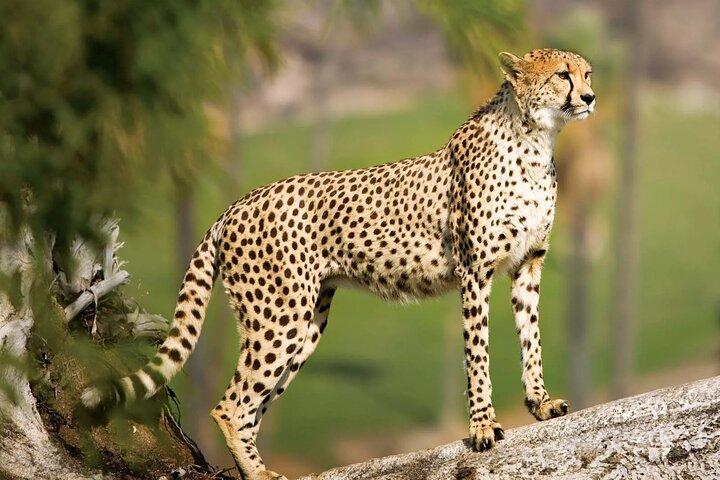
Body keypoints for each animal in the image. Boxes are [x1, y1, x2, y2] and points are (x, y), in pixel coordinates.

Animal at [82, 48, 595, 480]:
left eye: (586, 73)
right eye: (562, 75)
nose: (590, 97)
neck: (535, 139)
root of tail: (235, 204)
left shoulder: (527, 266)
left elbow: (531, 338)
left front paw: (540, 403)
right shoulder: (475, 271)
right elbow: (478, 353)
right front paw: (484, 426)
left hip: (305, 325)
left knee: (251, 405)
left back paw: (259, 466)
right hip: (279, 317)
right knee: (229, 406)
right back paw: (257, 472)